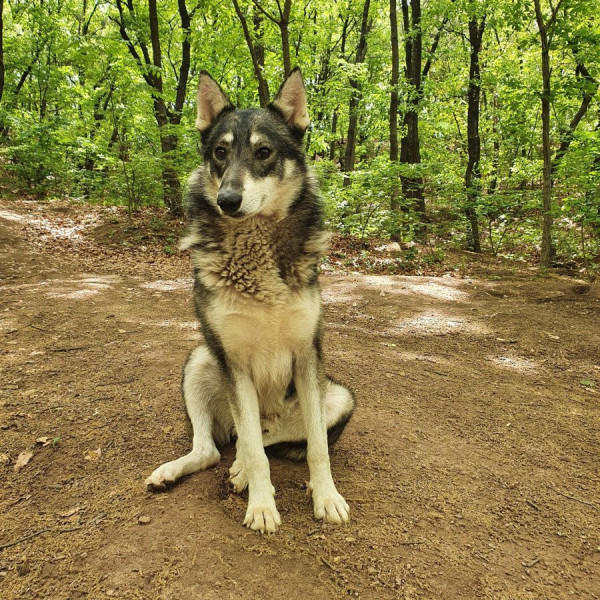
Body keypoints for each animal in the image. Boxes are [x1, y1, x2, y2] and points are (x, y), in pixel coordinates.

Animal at [144, 68, 356, 532]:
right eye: (220, 152)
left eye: (263, 152)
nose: (228, 200)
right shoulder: (232, 359)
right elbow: (257, 452)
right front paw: (260, 506)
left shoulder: (308, 355)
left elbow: (318, 448)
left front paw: (326, 497)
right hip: (200, 360)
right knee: (221, 445)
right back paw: (185, 470)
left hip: (339, 396)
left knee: (264, 437)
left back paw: (240, 465)